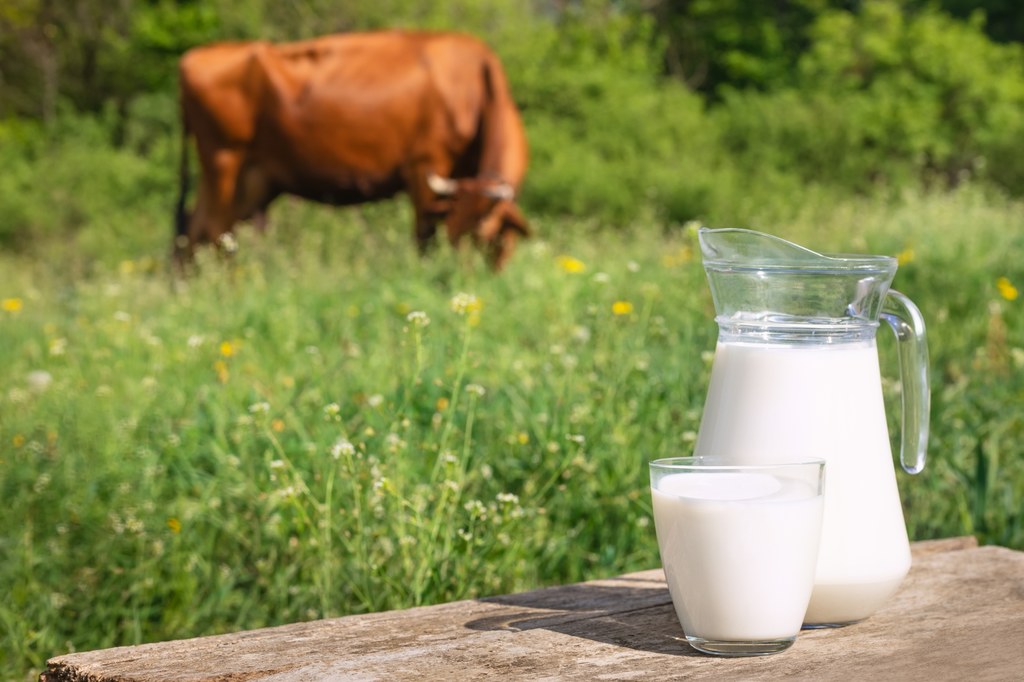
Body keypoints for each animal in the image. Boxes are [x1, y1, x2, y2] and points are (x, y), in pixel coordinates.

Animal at [171, 29, 528, 268]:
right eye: (456, 236)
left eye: (484, 235)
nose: (461, 277)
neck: (474, 88)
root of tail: (192, 57)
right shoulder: (423, 166)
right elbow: (423, 236)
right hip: (224, 159)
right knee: (217, 232)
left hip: (250, 179)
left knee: (195, 229)